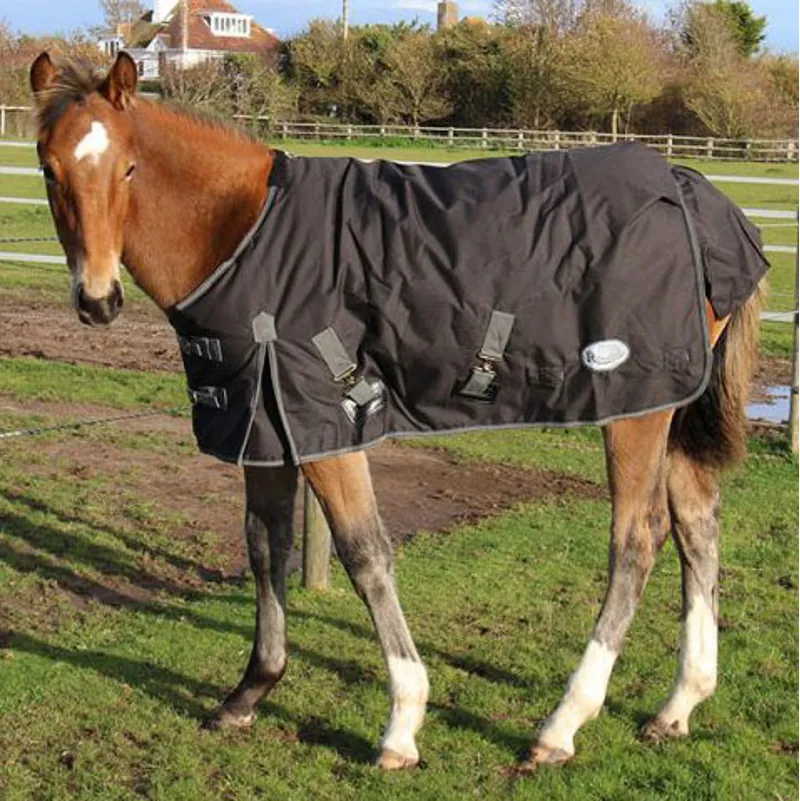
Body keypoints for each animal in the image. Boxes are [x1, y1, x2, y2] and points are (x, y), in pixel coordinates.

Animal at [29, 51, 766, 772]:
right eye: (49, 167)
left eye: (128, 167)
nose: (98, 300)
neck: (242, 234)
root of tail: (691, 190)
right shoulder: (264, 424)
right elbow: (266, 545)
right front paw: (249, 693)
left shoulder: (326, 424)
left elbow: (364, 554)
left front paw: (402, 724)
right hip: (673, 406)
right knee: (697, 525)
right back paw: (677, 706)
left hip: (634, 411)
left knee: (637, 541)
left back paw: (560, 725)